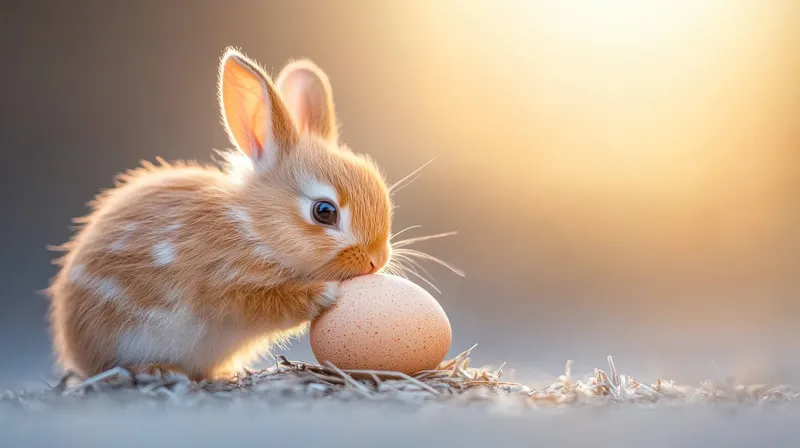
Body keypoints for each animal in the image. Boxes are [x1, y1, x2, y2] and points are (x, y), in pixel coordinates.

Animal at [45, 47, 394, 382]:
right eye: (324, 212)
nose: (376, 260)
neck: (254, 227)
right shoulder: (224, 283)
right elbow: (268, 303)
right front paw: (326, 293)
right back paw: (157, 370)